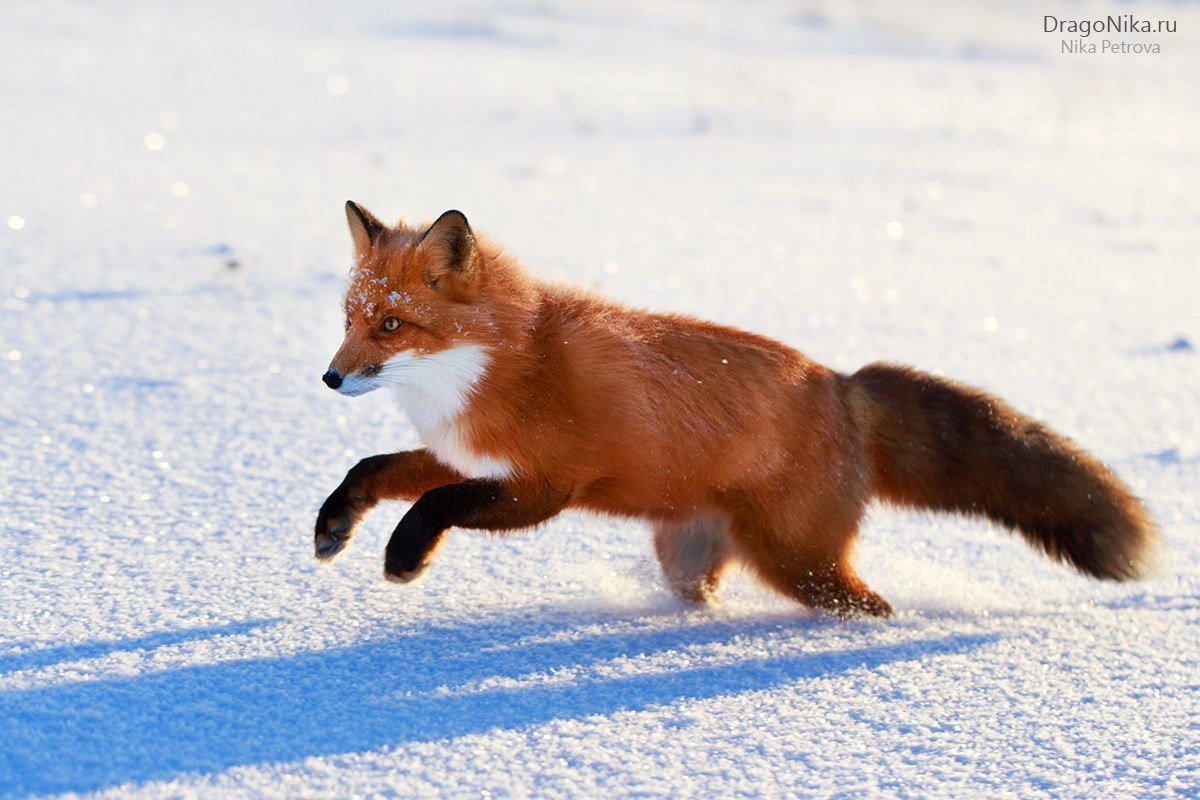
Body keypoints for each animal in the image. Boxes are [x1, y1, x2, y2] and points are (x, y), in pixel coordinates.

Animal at [314, 203, 1156, 618]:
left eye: (392, 325)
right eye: (349, 319)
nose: (329, 378)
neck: (503, 365)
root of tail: (840, 385)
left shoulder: (544, 486)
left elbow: (435, 503)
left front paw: (403, 556)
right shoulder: (464, 455)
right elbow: (375, 469)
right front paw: (334, 525)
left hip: (798, 564)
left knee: (868, 604)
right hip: (691, 555)